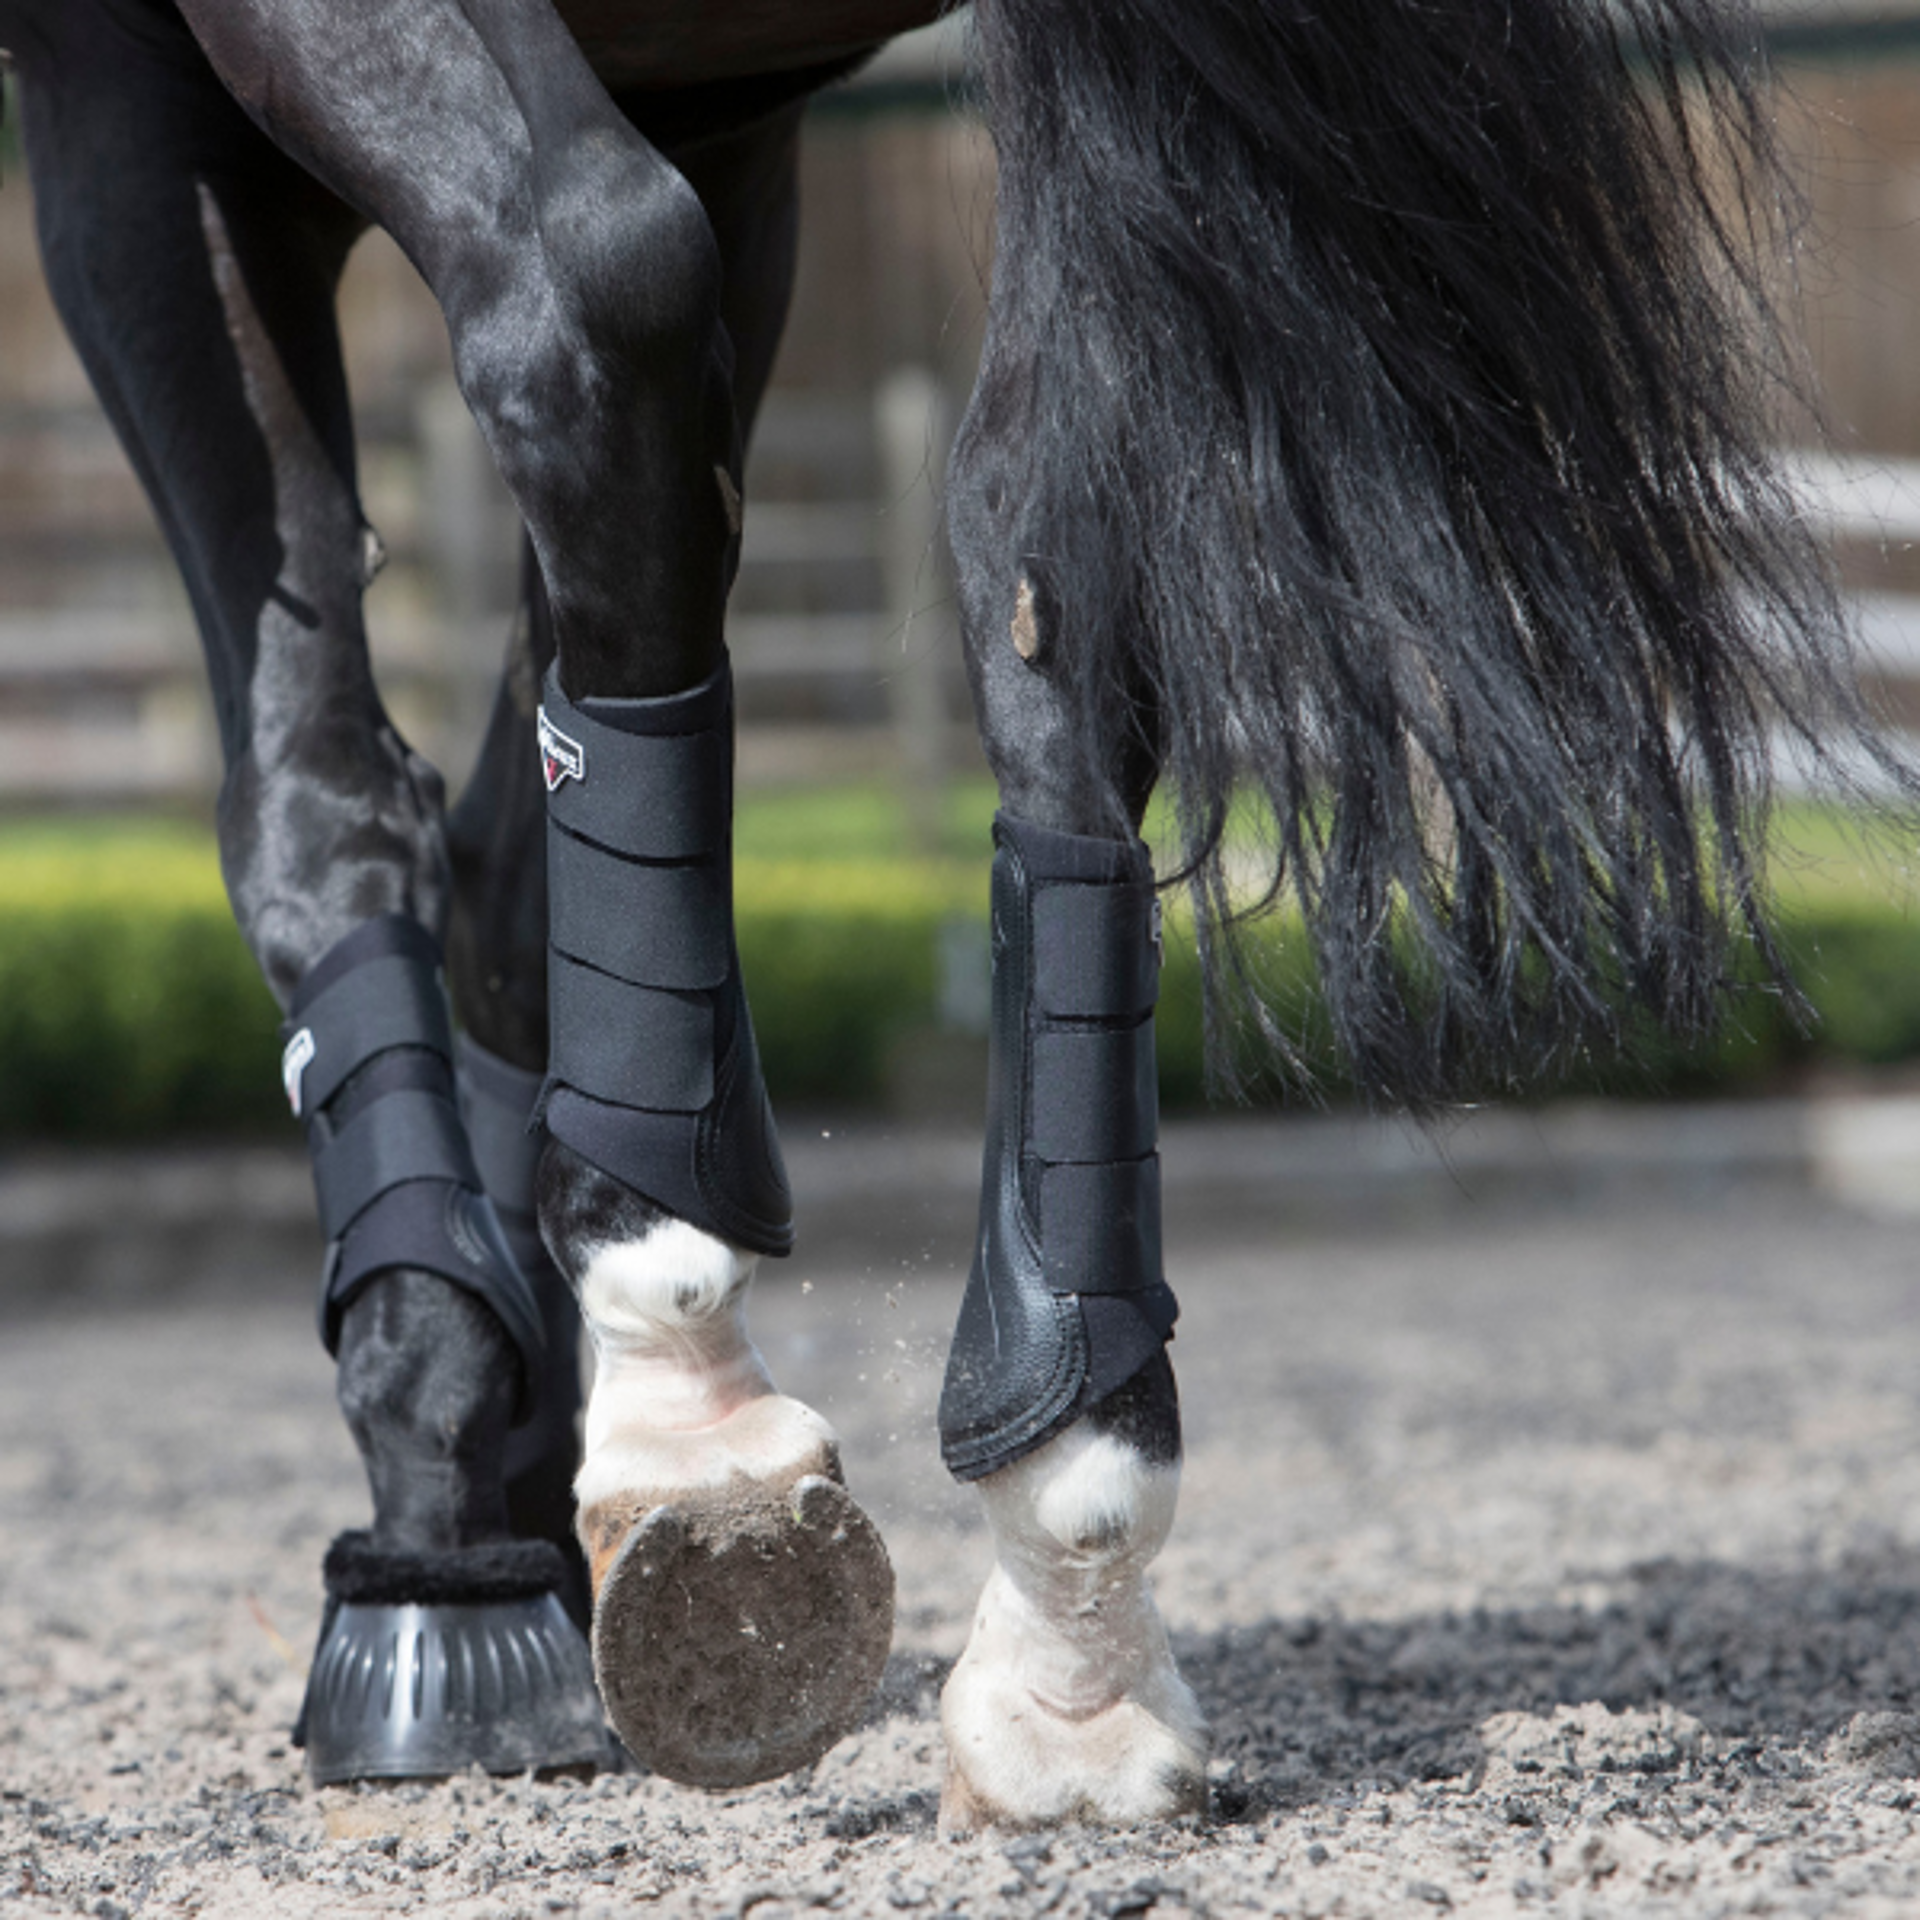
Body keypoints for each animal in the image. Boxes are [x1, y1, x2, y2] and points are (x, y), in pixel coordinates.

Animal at [0, 0, 1892, 1830]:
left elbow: (1032, 541)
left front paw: (1056, 1606)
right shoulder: (151, 87)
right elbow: (566, 357)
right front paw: (653, 1435)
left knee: (514, 771)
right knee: (395, 745)